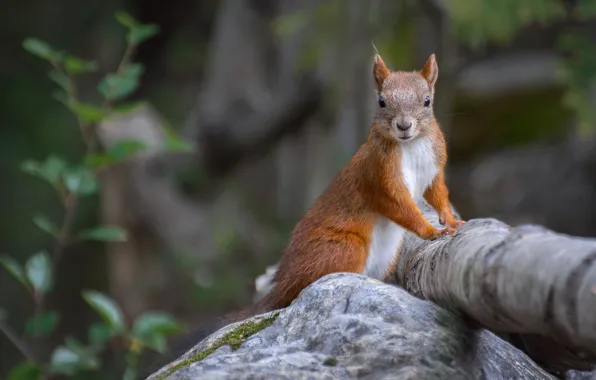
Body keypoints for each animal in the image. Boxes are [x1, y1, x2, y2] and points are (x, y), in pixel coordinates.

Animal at [142, 52, 464, 376]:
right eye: (382, 101)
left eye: (427, 100)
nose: (404, 126)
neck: (412, 146)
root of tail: (283, 281)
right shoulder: (379, 178)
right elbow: (401, 208)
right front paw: (430, 231)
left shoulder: (433, 169)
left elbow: (438, 195)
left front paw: (451, 220)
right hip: (344, 249)